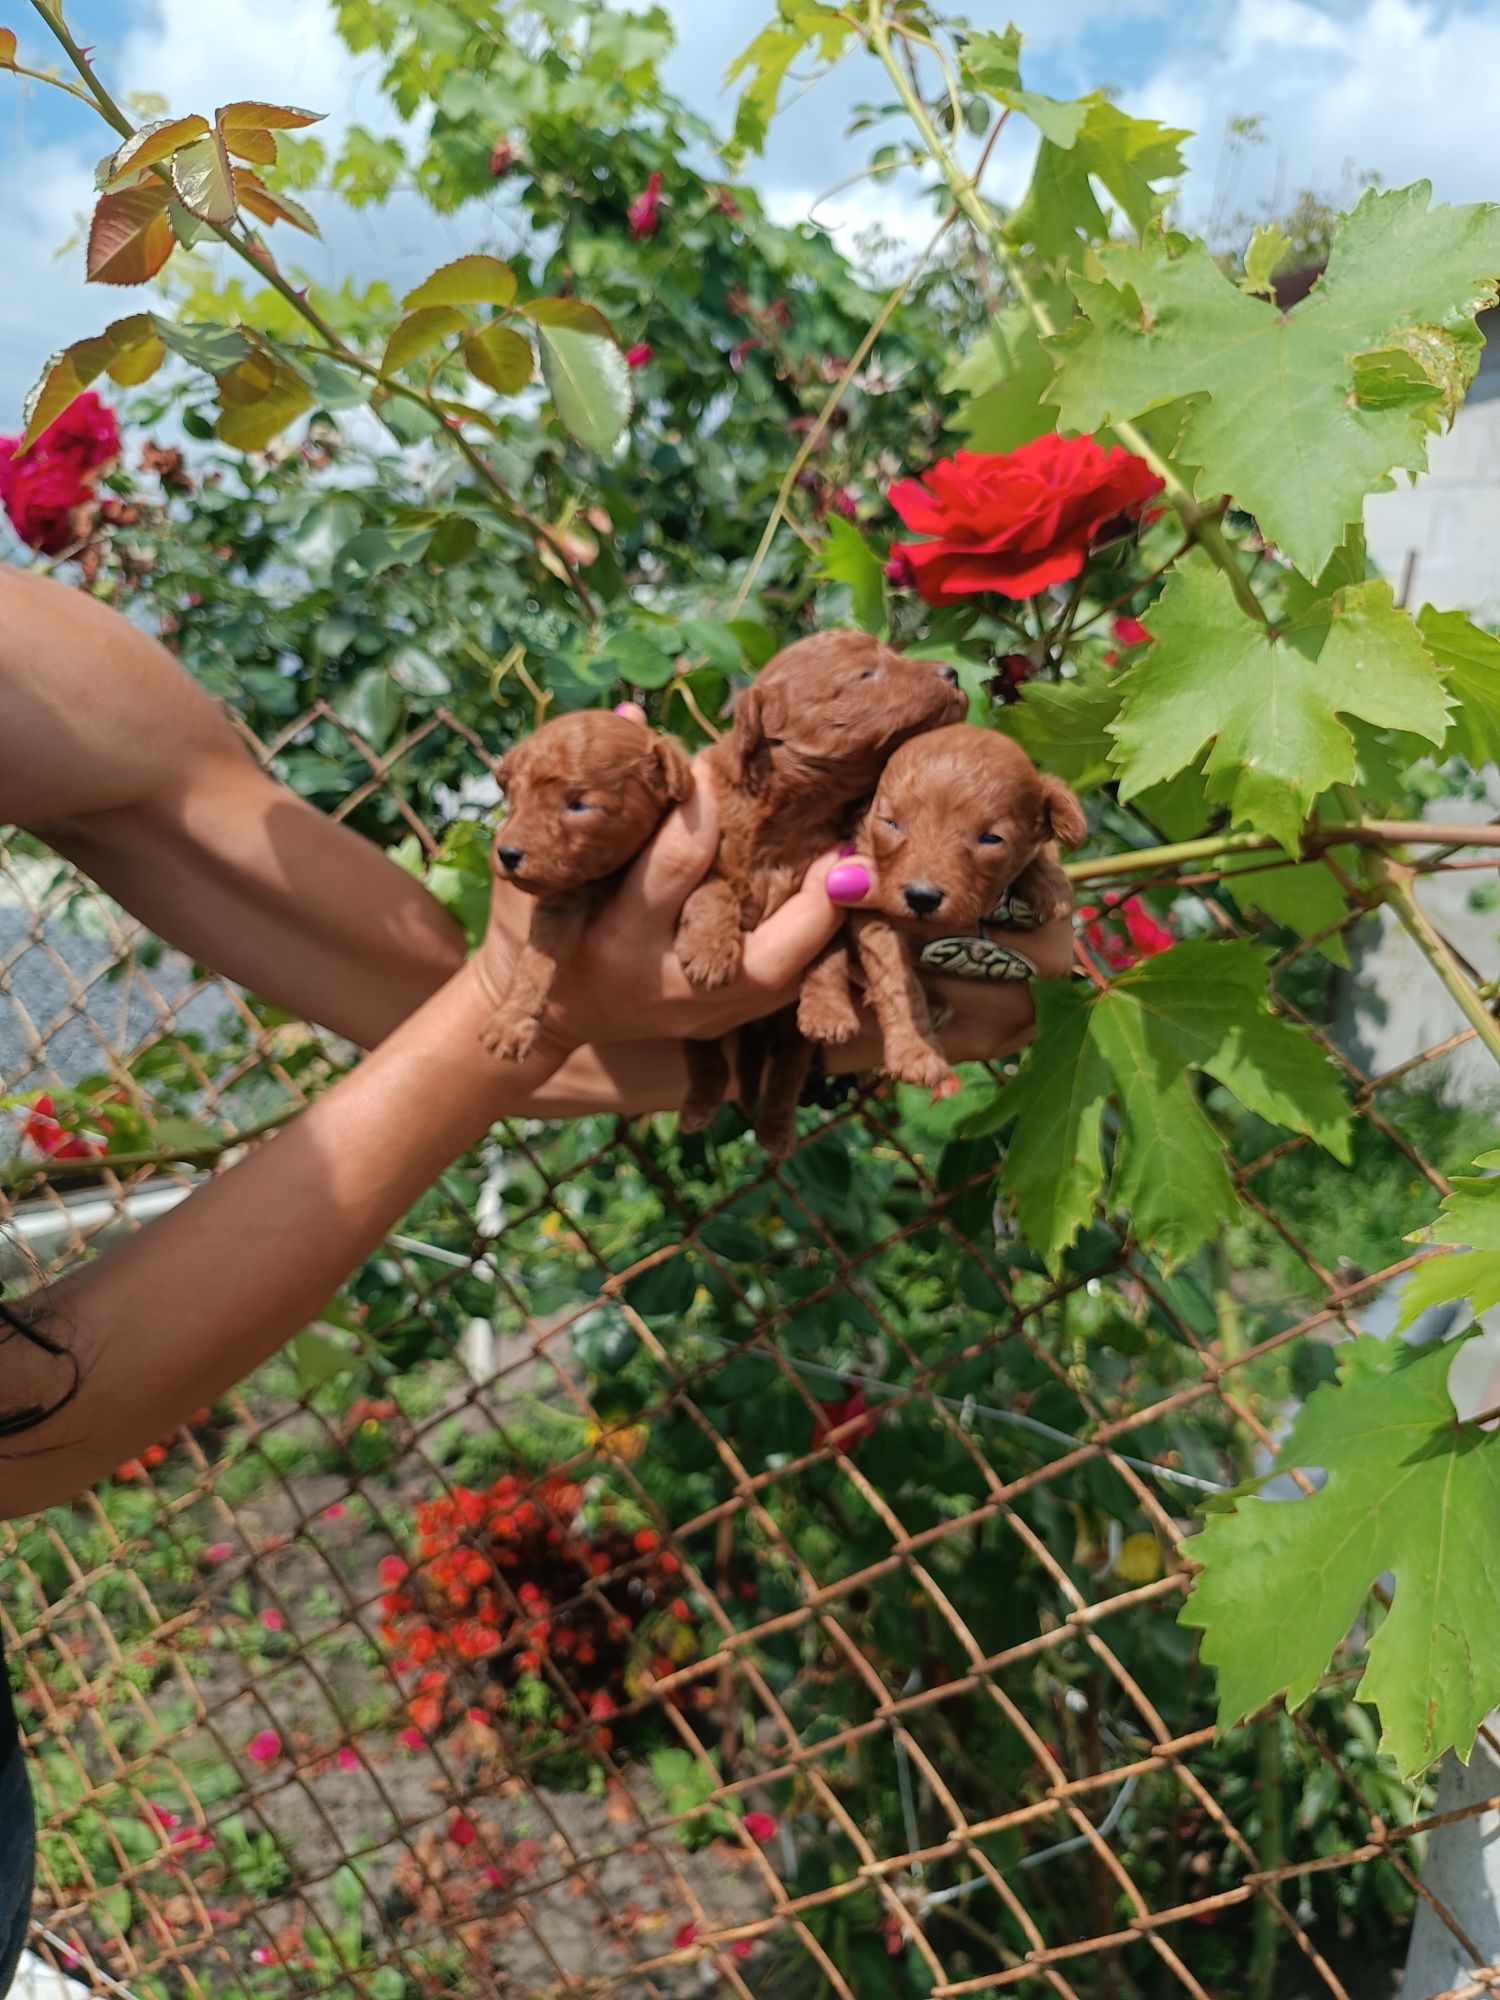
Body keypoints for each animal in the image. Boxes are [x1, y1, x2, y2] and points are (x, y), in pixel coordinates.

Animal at [478, 716, 696, 1064]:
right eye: (515, 799)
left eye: (579, 806)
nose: (507, 854)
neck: (608, 878)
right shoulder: (561, 900)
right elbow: (535, 961)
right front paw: (511, 1022)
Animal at [676, 624, 968, 1160]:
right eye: (865, 675)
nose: (952, 672)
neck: (795, 817)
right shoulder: (712, 860)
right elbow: (712, 893)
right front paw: (708, 952)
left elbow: (826, 955)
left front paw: (828, 1009)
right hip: (698, 1024)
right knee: (706, 1057)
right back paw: (699, 1108)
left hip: (790, 1039)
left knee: (786, 1078)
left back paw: (776, 1133)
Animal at [804, 720, 1088, 1096]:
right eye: (891, 823)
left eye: (990, 838)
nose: (921, 897)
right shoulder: (871, 912)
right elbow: (897, 982)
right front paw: (917, 1053)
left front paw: (1051, 885)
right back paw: (828, 1013)